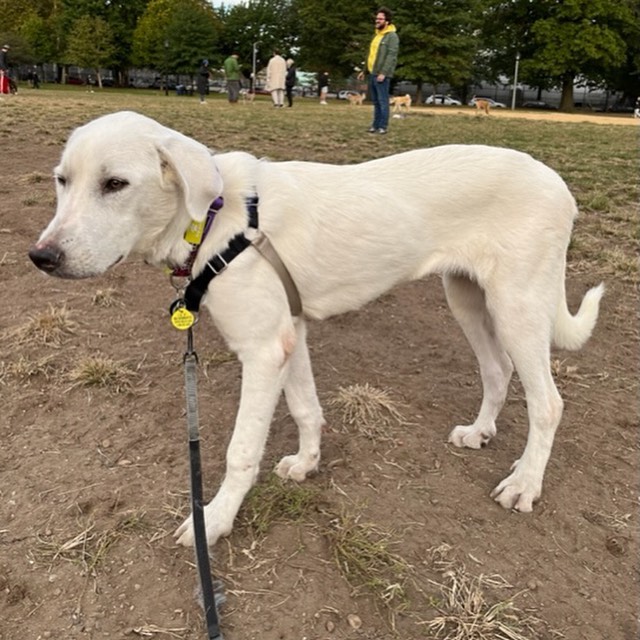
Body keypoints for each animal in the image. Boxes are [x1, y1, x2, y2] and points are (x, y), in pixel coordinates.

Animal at [30, 112, 604, 548]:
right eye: (62, 180)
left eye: (115, 184)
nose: (42, 258)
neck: (214, 217)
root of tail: (560, 184)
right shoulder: (290, 336)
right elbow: (307, 408)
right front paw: (307, 464)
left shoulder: (262, 351)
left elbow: (241, 451)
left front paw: (214, 521)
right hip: (466, 296)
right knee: (497, 370)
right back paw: (480, 432)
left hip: (517, 305)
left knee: (549, 403)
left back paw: (524, 483)